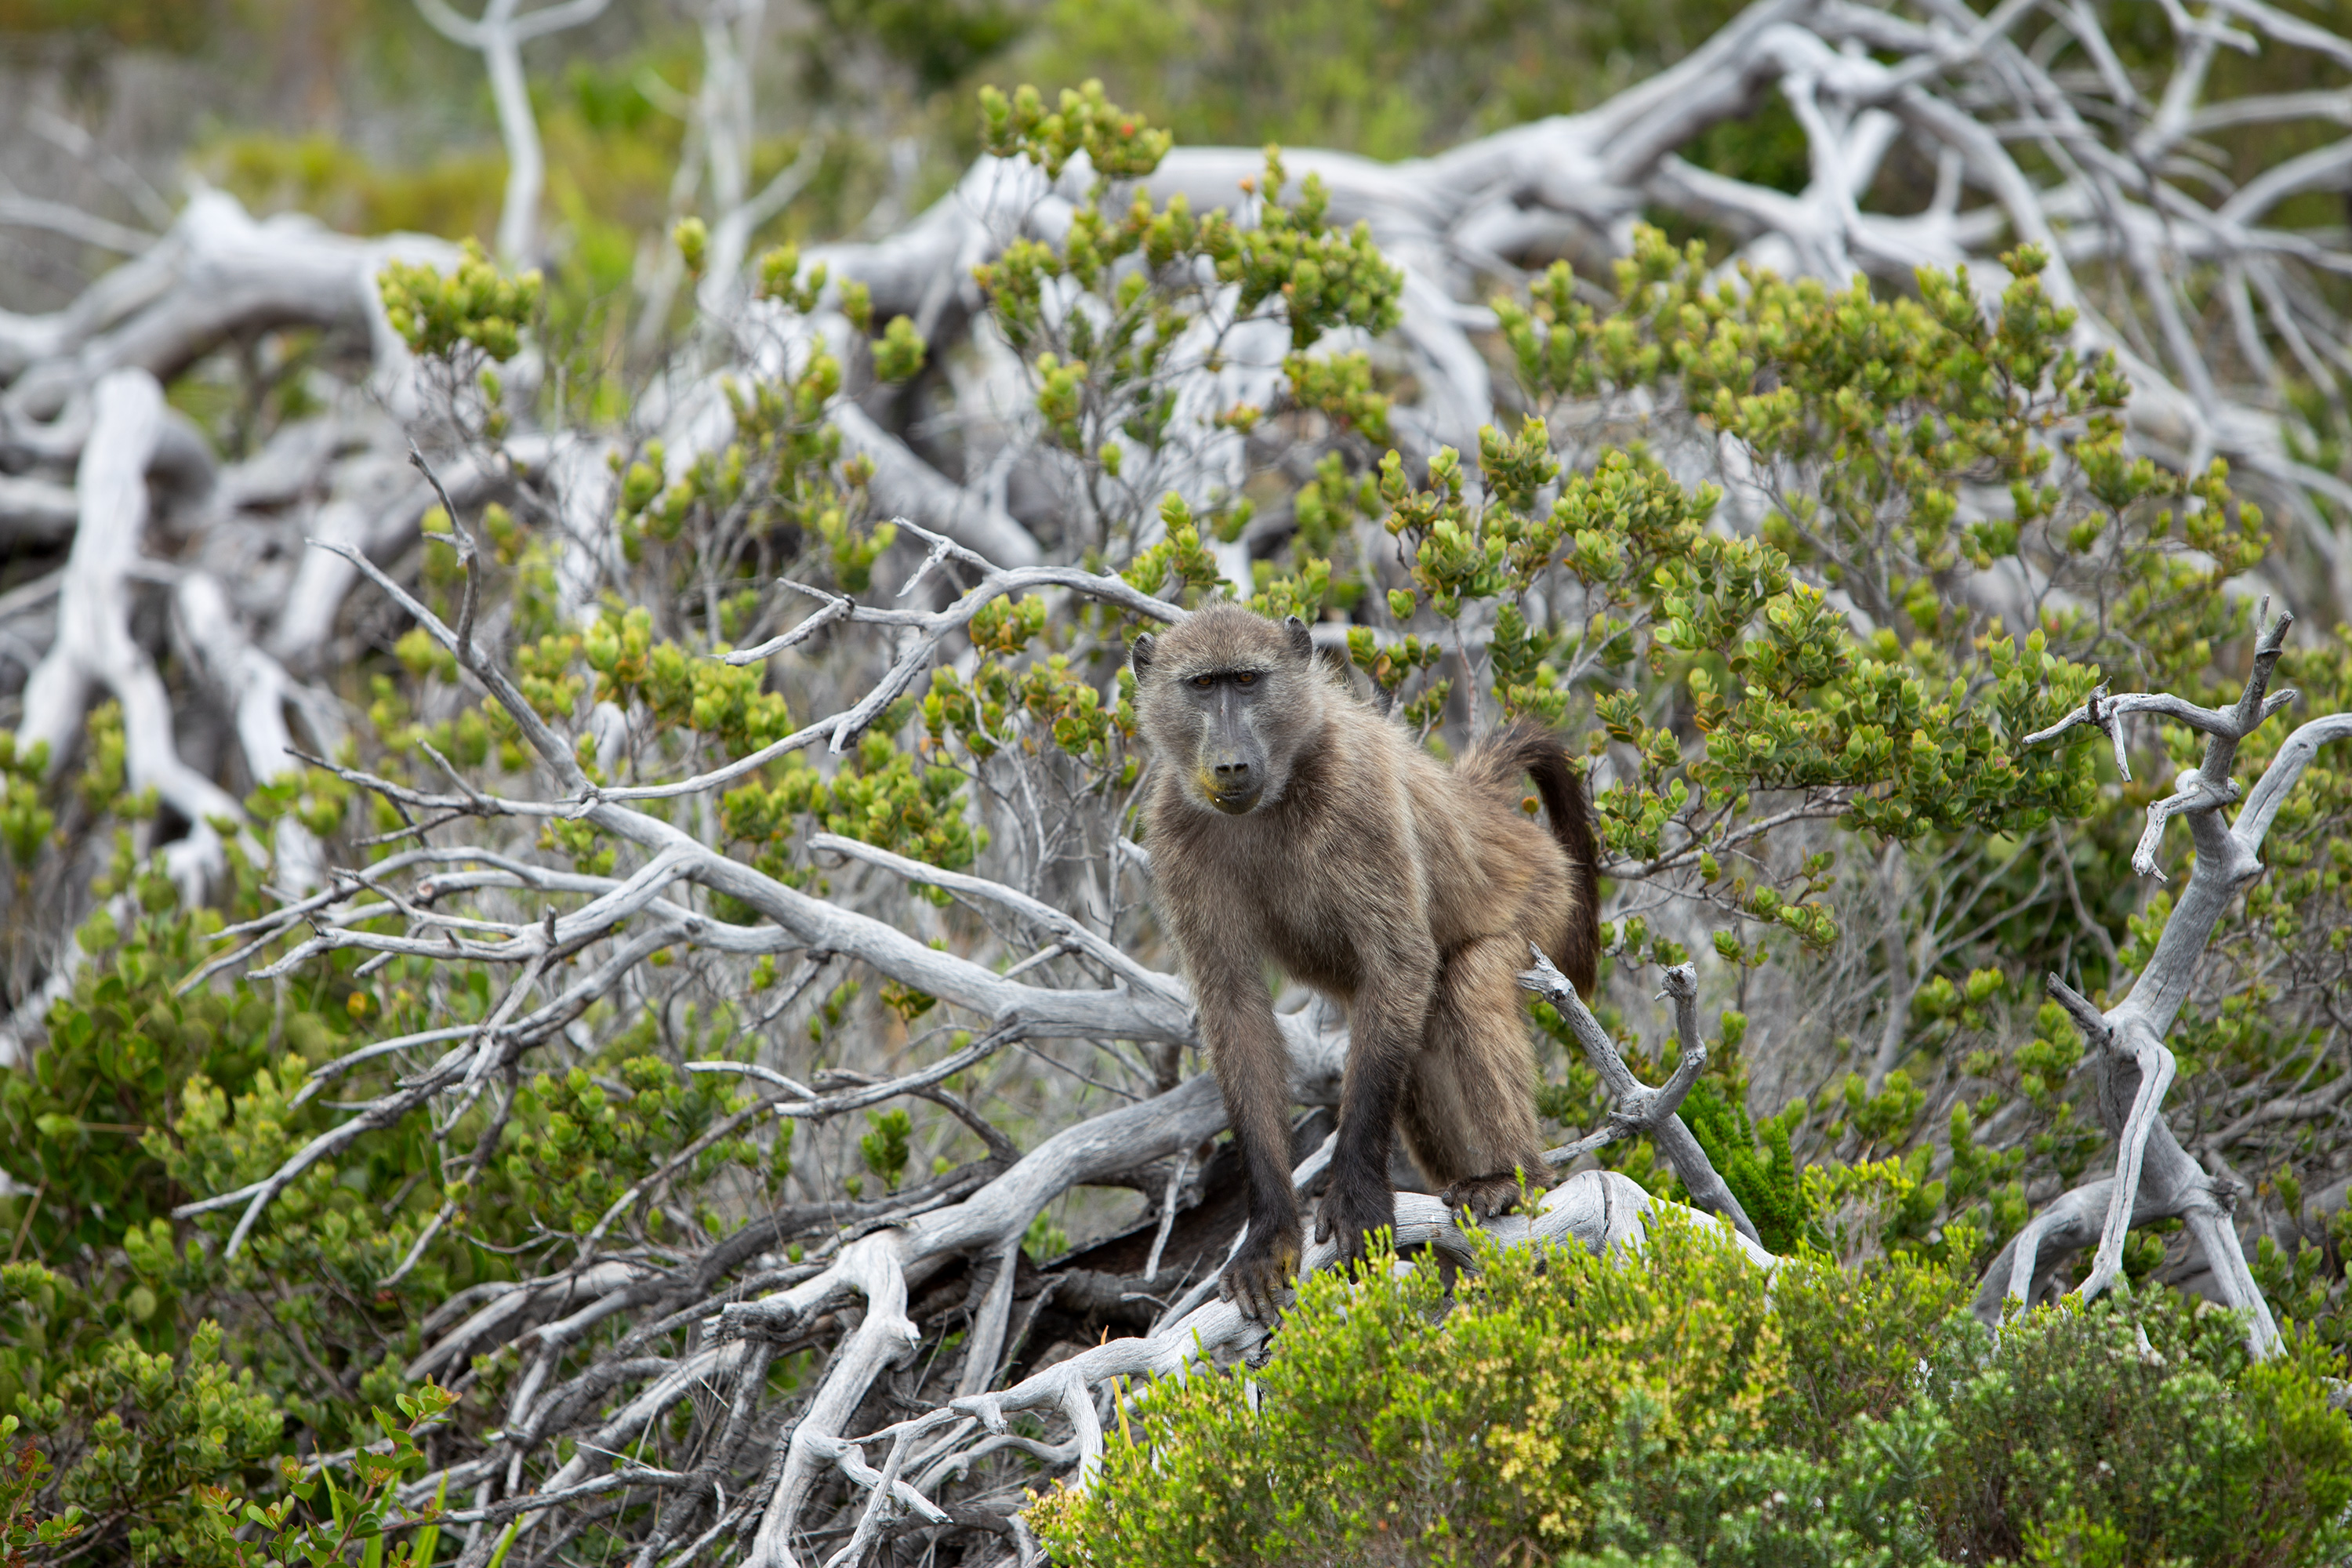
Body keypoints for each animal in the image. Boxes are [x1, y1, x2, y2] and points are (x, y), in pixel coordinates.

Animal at [1131, 601, 1599, 1324]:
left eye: (1247, 680)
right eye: (1203, 686)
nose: (1231, 766)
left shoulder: (1359, 795)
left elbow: (1400, 960)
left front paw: (1355, 1198)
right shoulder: (1176, 831)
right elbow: (1236, 1009)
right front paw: (1268, 1234)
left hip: (1543, 896)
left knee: (1463, 984)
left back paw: (1511, 1181)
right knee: (1421, 1052)